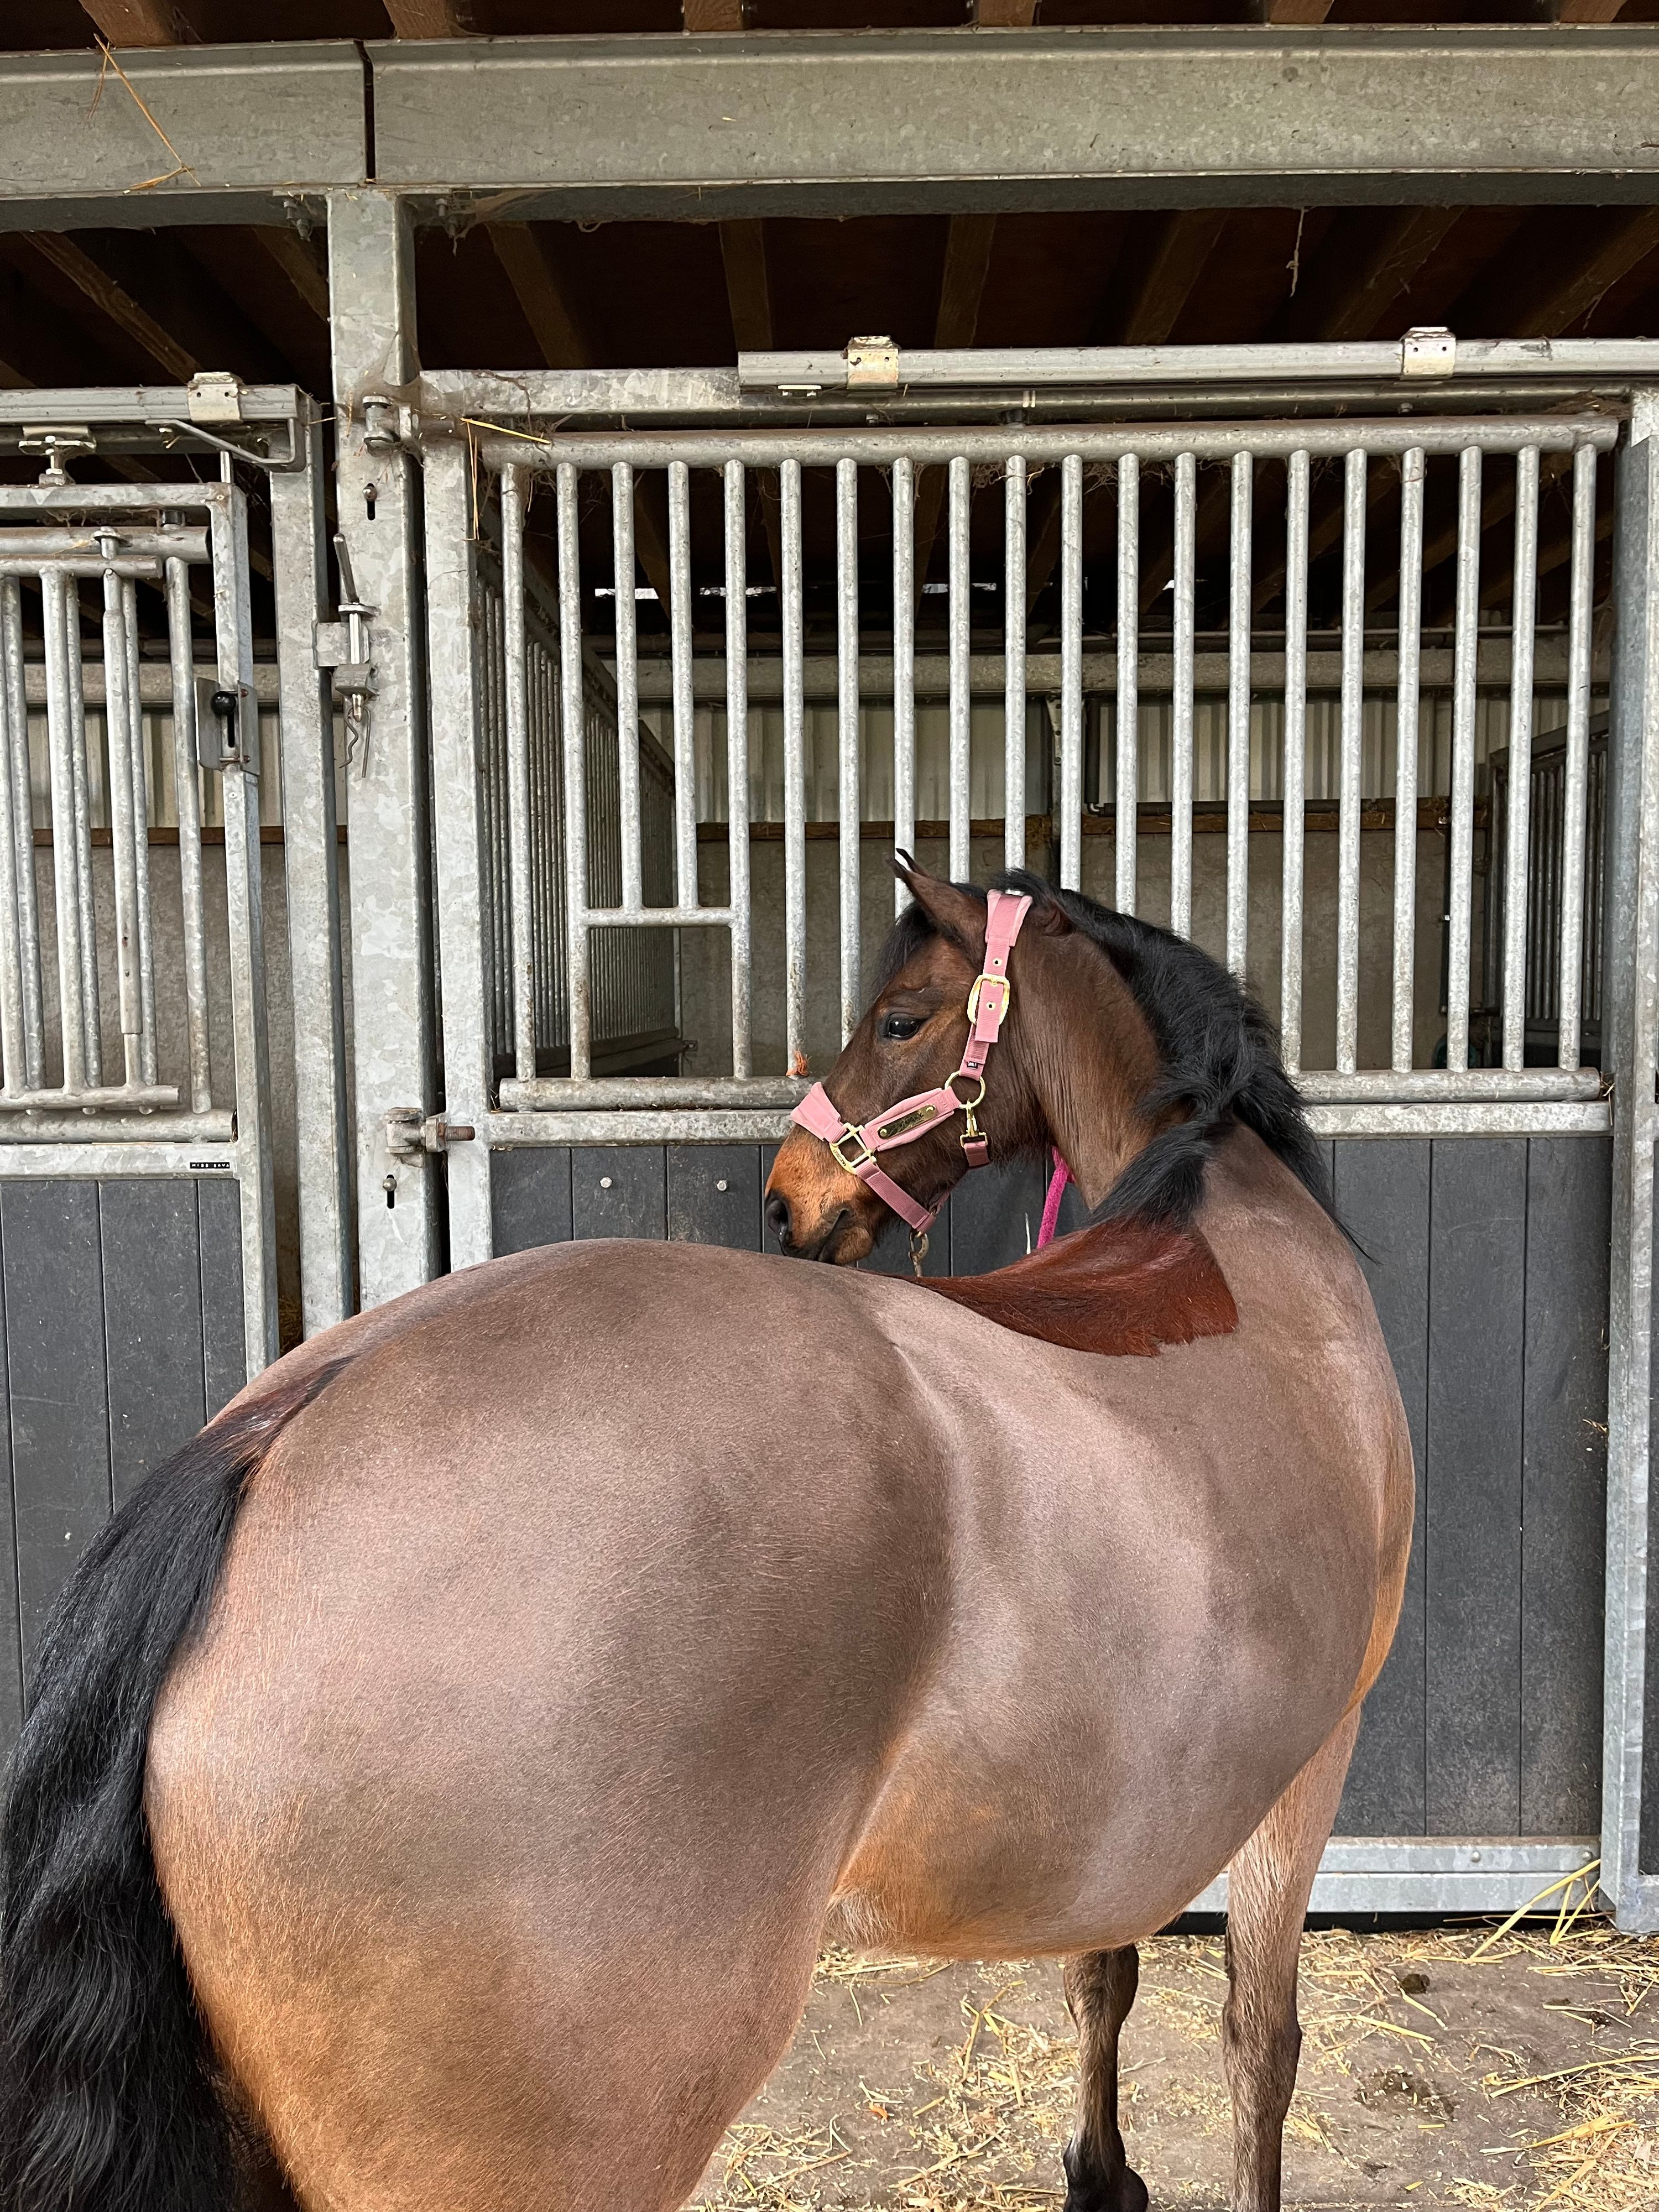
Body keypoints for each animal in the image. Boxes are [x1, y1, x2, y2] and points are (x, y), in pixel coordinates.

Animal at [0, 860, 1412, 2212]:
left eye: (900, 1018)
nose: (791, 1199)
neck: (1218, 1210)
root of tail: (274, 1440)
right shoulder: (1307, 1765)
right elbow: (1256, 2038)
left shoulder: (1146, 1801)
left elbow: (1113, 1982)